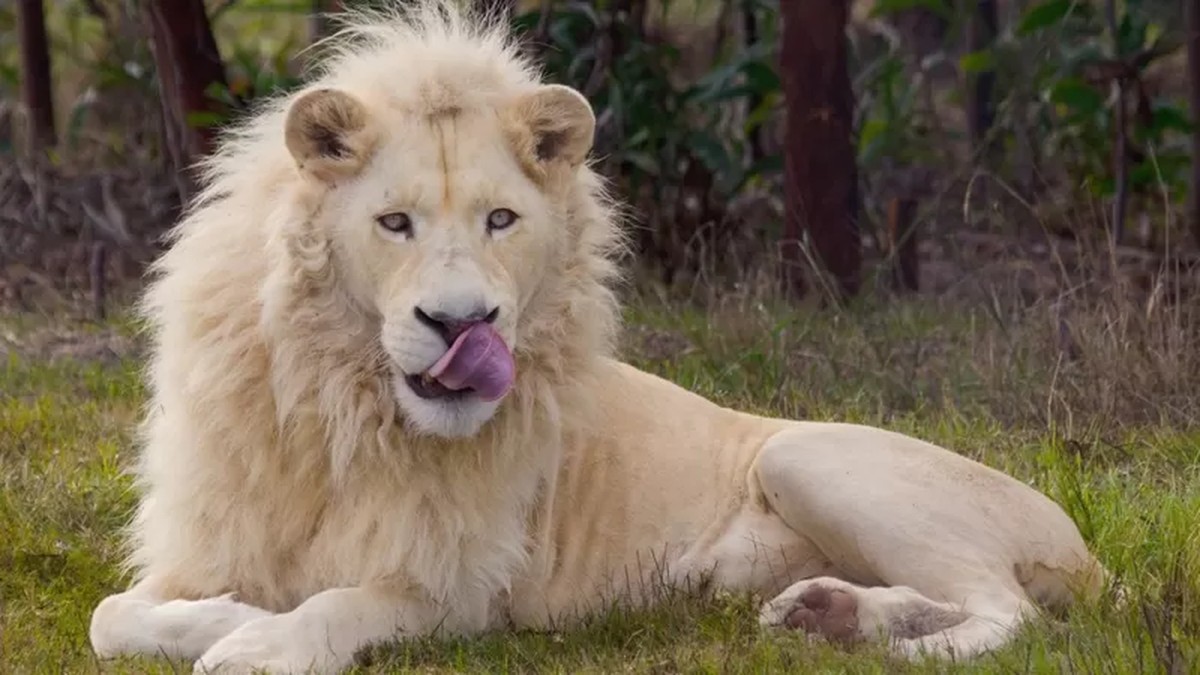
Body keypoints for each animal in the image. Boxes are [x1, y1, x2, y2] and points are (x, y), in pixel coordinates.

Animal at [91, 2, 1104, 667]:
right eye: (394, 223)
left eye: (501, 220)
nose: (462, 323)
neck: (345, 403)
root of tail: (1086, 550)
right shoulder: (213, 532)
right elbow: (113, 615)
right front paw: (222, 615)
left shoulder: (463, 591)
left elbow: (341, 601)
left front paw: (253, 640)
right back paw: (828, 614)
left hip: (806, 457)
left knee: (1014, 613)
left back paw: (889, 644)